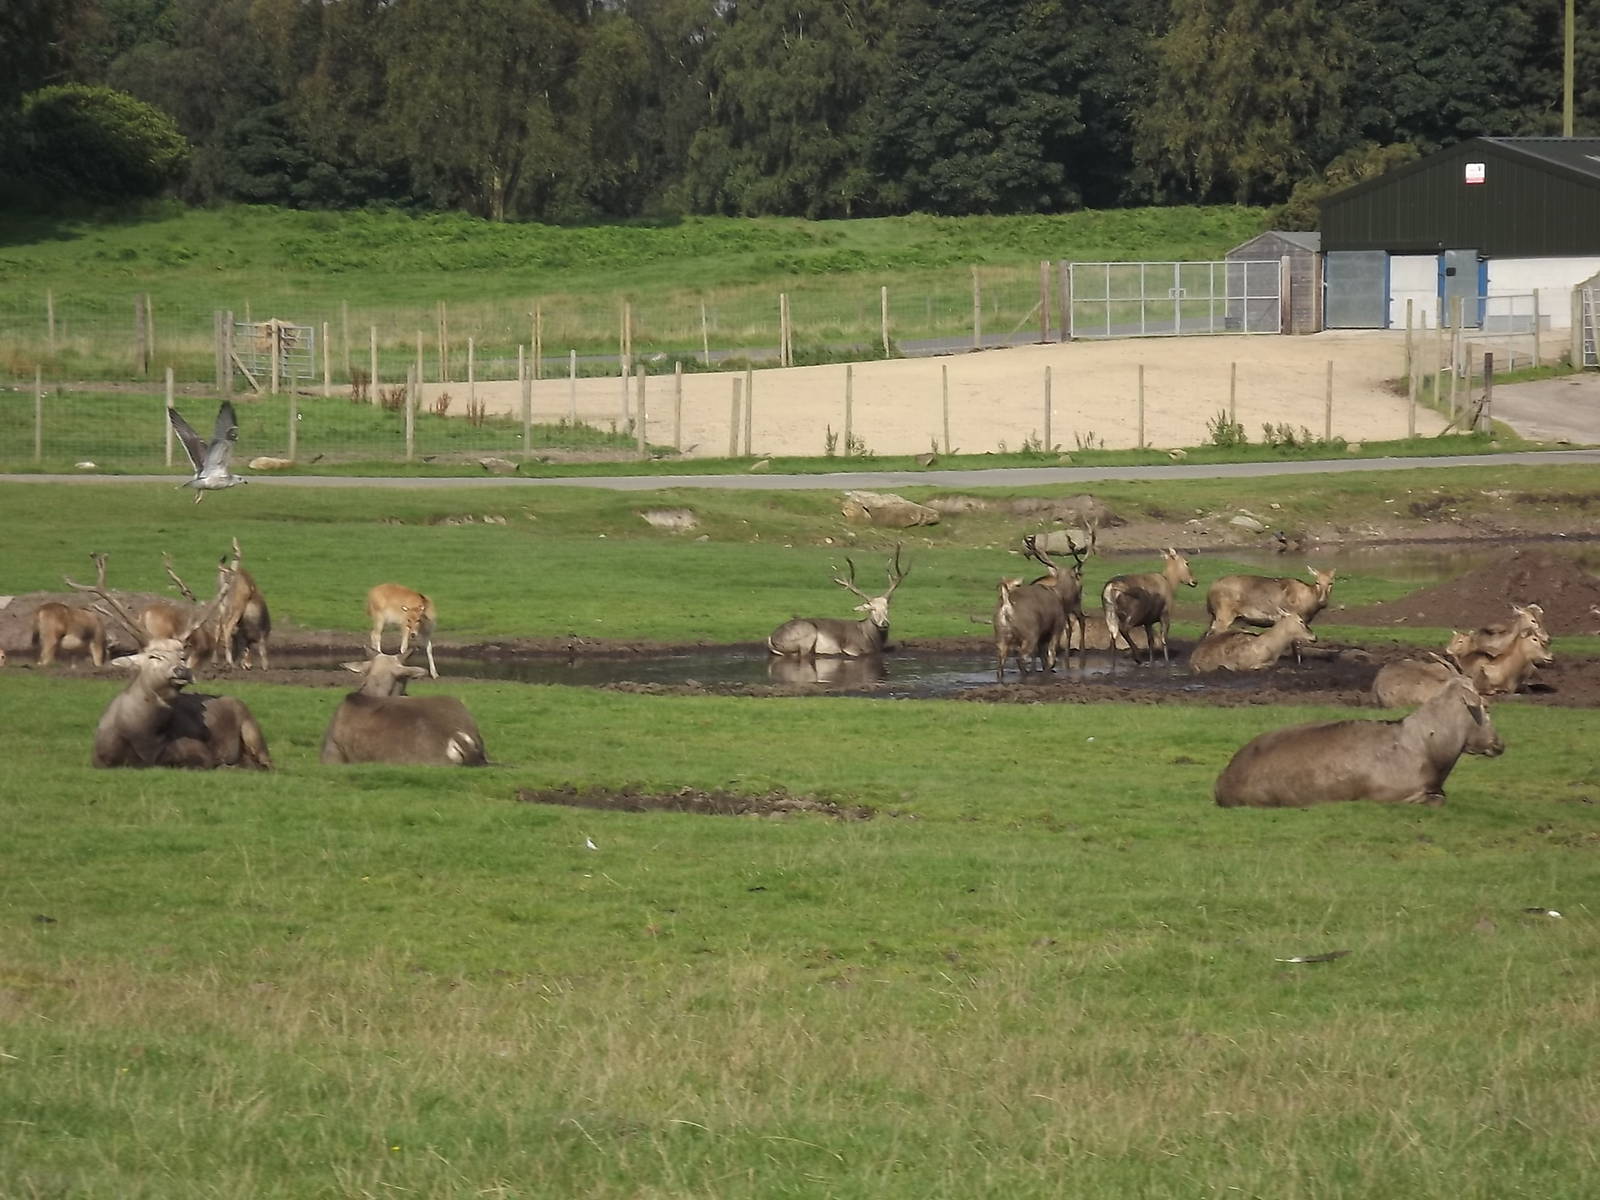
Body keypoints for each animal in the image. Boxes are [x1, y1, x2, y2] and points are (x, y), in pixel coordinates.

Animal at [65, 553, 272, 770]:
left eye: (182, 656)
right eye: (154, 656)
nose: (181, 671)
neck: (144, 739)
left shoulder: (198, 750)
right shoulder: (100, 758)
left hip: (252, 728)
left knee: (266, 762)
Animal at [768, 545, 909, 658]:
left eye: (887, 608)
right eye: (871, 608)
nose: (884, 623)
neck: (870, 638)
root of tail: (772, 638)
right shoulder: (852, 648)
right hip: (807, 635)